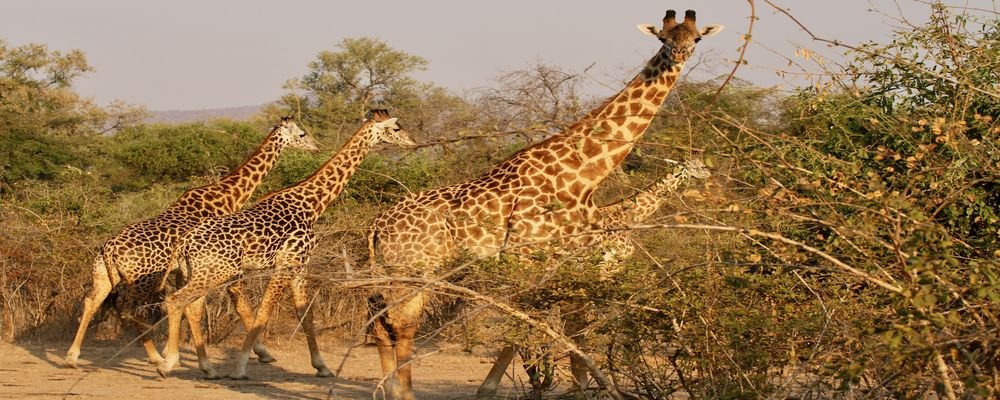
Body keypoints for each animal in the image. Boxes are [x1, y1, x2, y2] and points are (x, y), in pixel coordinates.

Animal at [65, 115, 316, 368]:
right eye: (302, 134)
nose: (316, 147)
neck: (227, 196)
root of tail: (109, 250)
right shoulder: (221, 265)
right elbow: (237, 305)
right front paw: (263, 353)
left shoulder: (185, 269)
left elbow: (186, 306)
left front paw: (173, 349)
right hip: (144, 282)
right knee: (129, 311)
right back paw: (154, 357)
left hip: (104, 276)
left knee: (91, 302)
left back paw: (73, 357)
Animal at [155, 111, 418, 380]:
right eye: (396, 128)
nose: (413, 142)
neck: (311, 204)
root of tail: (183, 245)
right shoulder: (287, 262)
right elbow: (263, 311)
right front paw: (240, 367)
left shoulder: (300, 265)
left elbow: (305, 313)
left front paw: (322, 366)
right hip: (216, 273)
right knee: (176, 300)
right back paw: (167, 363)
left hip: (197, 273)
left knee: (191, 306)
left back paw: (203, 367)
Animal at [476, 157, 712, 396]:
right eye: (695, 166)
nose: (708, 172)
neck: (628, 215)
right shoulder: (609, 270)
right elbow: (613, 321)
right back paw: (491, 386)